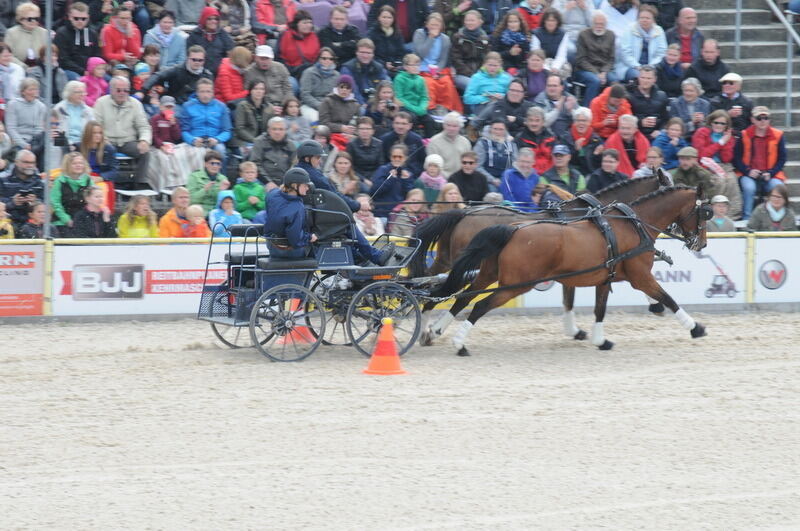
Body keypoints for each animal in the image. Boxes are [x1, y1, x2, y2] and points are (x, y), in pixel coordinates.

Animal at [428, 187, 708, 358]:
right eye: (705, 213)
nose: (701, 244)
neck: (631, 225)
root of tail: (513, 229)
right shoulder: (640, 277)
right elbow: (667, 297)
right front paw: (695, 327)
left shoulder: (603, 278)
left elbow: (597, 309)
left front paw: (599, 340)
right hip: (516, 284)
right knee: (478, 306)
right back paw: (459, 343)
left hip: (487, 273)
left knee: (462, 297)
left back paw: (434, 331)